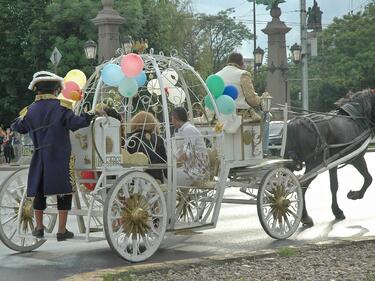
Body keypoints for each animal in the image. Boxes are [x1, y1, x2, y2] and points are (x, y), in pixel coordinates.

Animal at [284, 89, 375, 225]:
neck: (356, 117)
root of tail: (295, 124)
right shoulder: (357, 158)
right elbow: (368, 178)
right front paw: (355, 195)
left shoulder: (333, 164)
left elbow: (334, 186)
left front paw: (337, 211)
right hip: (314, 164)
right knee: (302, 185)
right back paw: (305, 216)